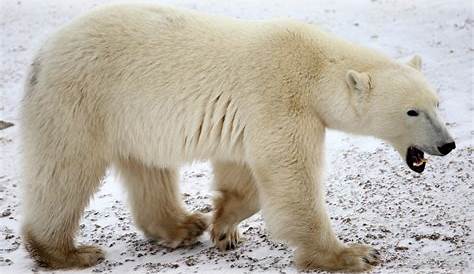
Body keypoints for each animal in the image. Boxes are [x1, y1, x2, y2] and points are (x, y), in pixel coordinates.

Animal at [21, 3, 456, 272]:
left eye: (436, 103)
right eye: (411, 111)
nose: (447, 144)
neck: (313, 67)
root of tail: (44, 51)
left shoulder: (254, 116)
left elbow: (241, 172)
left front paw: (223, 227)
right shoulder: (280, 98)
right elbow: (290, 177)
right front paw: (352, 255)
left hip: (129, 117)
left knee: (148, 168)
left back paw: (183, 226)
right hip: (85, 97)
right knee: (65, 170)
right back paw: (66, 252)